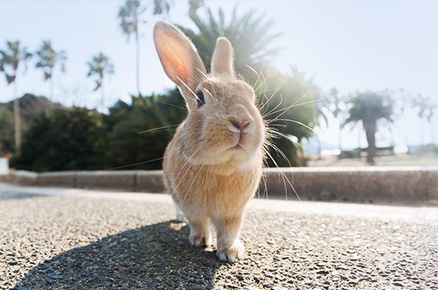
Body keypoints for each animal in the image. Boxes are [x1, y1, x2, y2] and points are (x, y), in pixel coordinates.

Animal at [152, 19, 266, 260]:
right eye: (200, 97)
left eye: (250, 95)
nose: (241, 121)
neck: (221, 167)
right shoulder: (192, 208)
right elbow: (198, 222)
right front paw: (200, 241)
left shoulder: (234, 213)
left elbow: (229, 231)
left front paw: (231, 253)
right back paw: (178, 219)